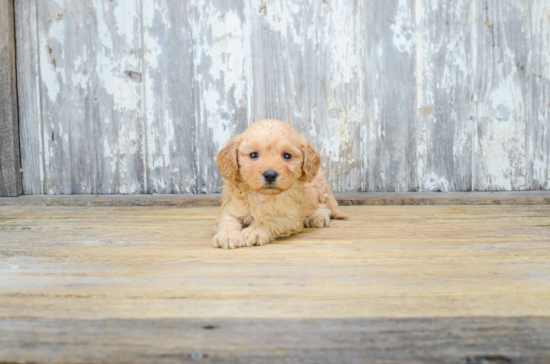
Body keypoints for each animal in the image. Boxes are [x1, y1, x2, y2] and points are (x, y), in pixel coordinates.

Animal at [215, 118, 350, 249]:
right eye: (253, 155)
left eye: (287, 156)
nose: (270, 175)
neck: (262, 195)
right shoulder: (231, 208)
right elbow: (227, 221)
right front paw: (227, 235)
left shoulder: (288, 217)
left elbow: (268, 220)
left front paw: (254, 231)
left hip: (319, 187)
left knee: (323, 205)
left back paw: (318, 216)